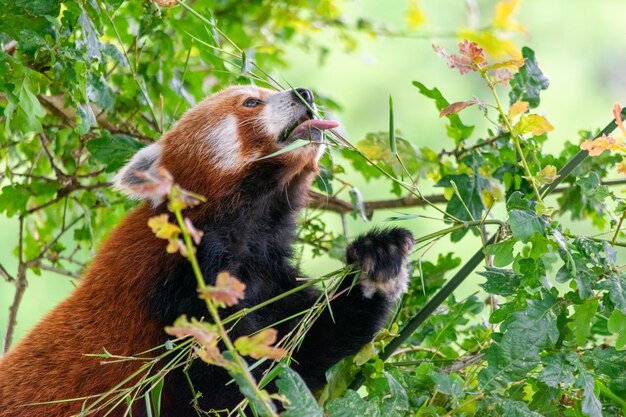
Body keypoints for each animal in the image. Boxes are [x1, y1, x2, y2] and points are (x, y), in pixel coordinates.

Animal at [0, 86, 414, 414]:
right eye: (251, 101)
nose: (305, 93)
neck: (249, 230)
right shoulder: (181, 287)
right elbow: (233, 386)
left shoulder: (270, 278)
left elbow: (306, 353)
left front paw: (379, 260)